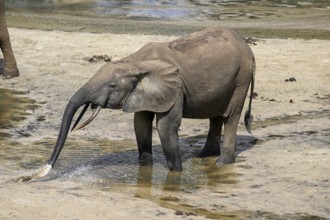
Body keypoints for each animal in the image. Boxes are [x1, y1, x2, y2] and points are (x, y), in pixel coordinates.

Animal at [44, 27, 255, 172]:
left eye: (112, 86)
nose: (46, 168)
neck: (134, 62)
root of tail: (246, 45)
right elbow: (141, 124)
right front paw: (145, 170)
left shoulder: (175, 88)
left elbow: (165, 126)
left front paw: (176, 174)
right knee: (216, 116)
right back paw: (204, 156)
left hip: (241, 79)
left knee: (230, 116)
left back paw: (221, 163)